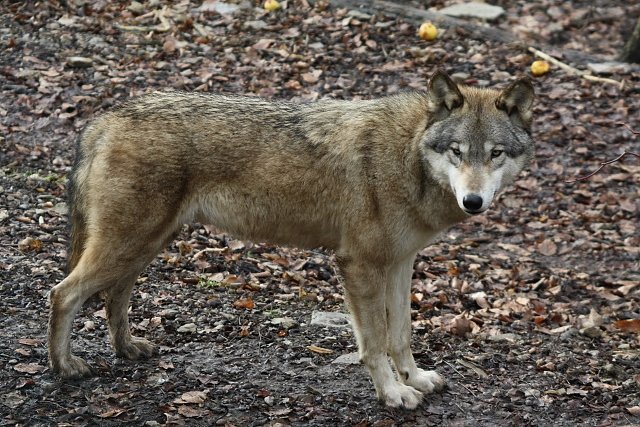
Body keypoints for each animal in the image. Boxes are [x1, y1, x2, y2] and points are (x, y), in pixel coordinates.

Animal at [47, 71, 532, 412]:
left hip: (145, 246)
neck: (408, 158)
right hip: (128, 245)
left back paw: (127, 349)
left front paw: (414, 380)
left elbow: (401, 336)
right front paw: (393, 395)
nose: (473, 201)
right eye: (457, 152)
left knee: (114, 296)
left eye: (495, 154)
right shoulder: (359, 265)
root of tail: (104, 118)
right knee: (63, 293)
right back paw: (64, 367)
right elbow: (374, 342)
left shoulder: (400, 263)